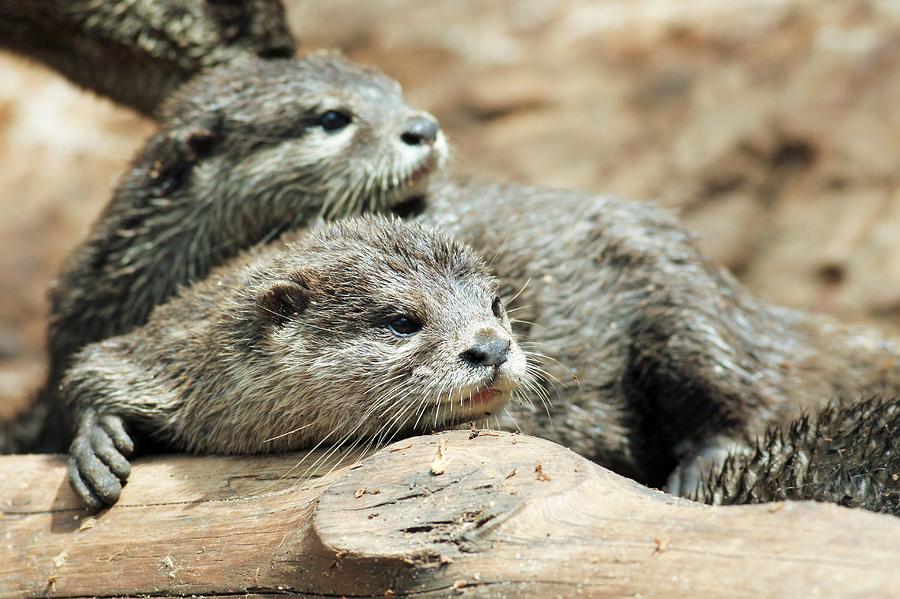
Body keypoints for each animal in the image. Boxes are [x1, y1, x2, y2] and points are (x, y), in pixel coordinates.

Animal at [63, 217, 528, 510]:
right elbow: (88, 365)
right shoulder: (169, 347)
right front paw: (97, 444)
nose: (491, 348)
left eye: (495, 305)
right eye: (401, 322)